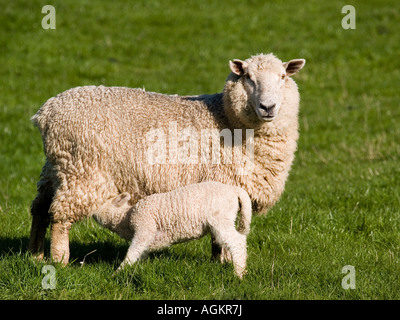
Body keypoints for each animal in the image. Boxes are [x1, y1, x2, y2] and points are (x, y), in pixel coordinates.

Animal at [28, 52, 306, 264]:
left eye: (283, 77)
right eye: (248, 77)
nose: (268, 107)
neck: (226, 118)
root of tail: (47, 112)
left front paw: (218, 261)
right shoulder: (223, 184)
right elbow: (223, 234)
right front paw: (225, 261)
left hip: (56, 168)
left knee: (40, 209)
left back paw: (35, 256)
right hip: (82, 172)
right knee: (60, 217)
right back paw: (59, 260)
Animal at [92, 181, 252, 278]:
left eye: (100, 204)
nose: (90, 214)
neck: (126, 218)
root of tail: (234, 190)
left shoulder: (144, 227)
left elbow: (132, 252)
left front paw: (118, 272)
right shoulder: (148, 236)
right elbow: (141, 253)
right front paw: (138, 269)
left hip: (221, 219)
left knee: (237, 242)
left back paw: (239, 272)